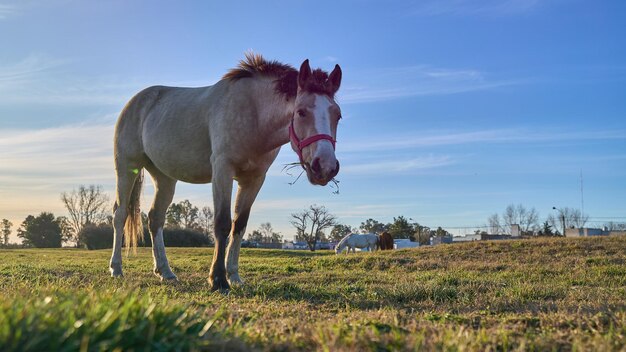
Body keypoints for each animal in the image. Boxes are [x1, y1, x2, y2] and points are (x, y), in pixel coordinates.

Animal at [108, 53, 342, 290]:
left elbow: (239, 225)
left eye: (338, 115)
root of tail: (135, 101)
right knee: (120, 215)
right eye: (301, 112)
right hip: (127, 168)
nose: (326, 166)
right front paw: (218, 279)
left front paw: (234, 276)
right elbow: (222, 223)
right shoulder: (222, 171)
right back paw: (116, 268)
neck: (253, 113)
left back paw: (165, 271)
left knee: (155, 218)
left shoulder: (254, 179)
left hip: (164, 178)